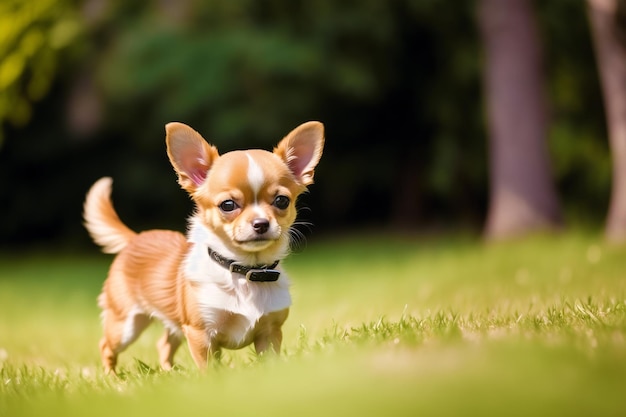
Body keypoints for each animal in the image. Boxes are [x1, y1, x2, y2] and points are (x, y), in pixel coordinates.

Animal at [83, 121, 324, 374]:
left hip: (175, 324)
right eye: (228, 205)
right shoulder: (202, 335)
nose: (261, 223)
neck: (244, 272)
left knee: (164, 343)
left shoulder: (269, 333)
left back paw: (169, 372)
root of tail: (136, 238)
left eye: (281, 201)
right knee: (106, 345)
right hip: (126, 324)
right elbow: (210, 370)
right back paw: (112, 377)